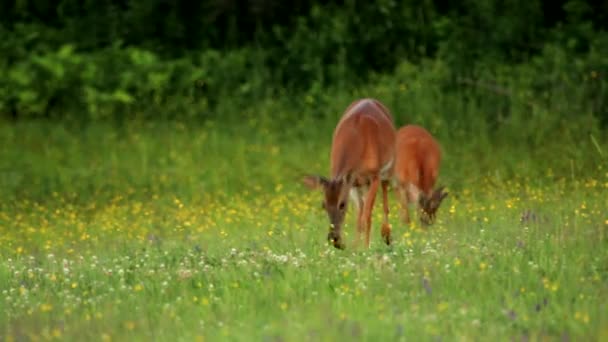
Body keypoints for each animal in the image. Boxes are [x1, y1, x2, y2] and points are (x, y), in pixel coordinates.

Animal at [302, 98, 396, 248]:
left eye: (342, 204)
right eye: (323, 205)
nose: (334, 239)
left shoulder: (374, 175)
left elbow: (367, 216)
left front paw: (366, 248)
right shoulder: (352, 183)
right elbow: (359, 217)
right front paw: (355, 247)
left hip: (389, 168)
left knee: (385, 196)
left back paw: (386, 235)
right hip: (361, 184)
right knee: (362, 209)